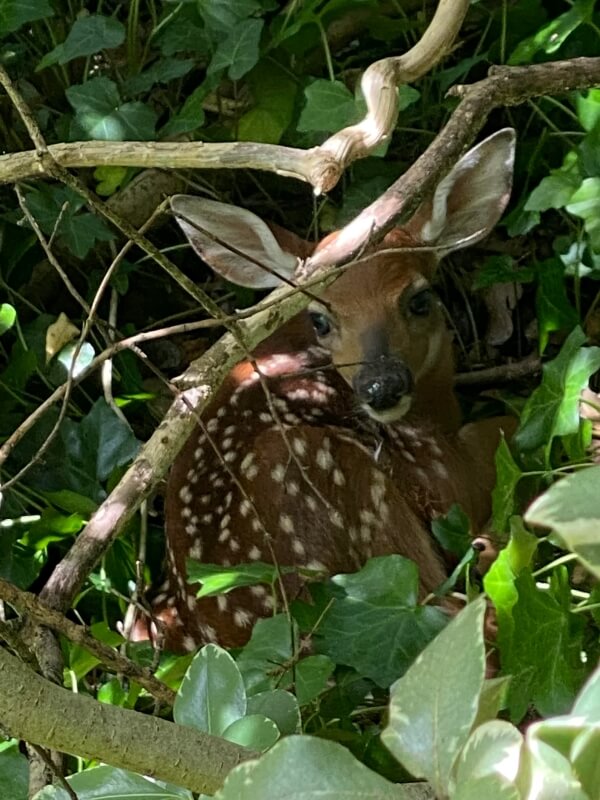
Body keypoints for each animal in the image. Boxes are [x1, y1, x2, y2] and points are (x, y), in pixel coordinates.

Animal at [133, 128, 516, 653]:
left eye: (420, 299)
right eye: (320, 320)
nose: (381, 386)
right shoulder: (443, 478)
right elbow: (496, 433)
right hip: (341, 484)